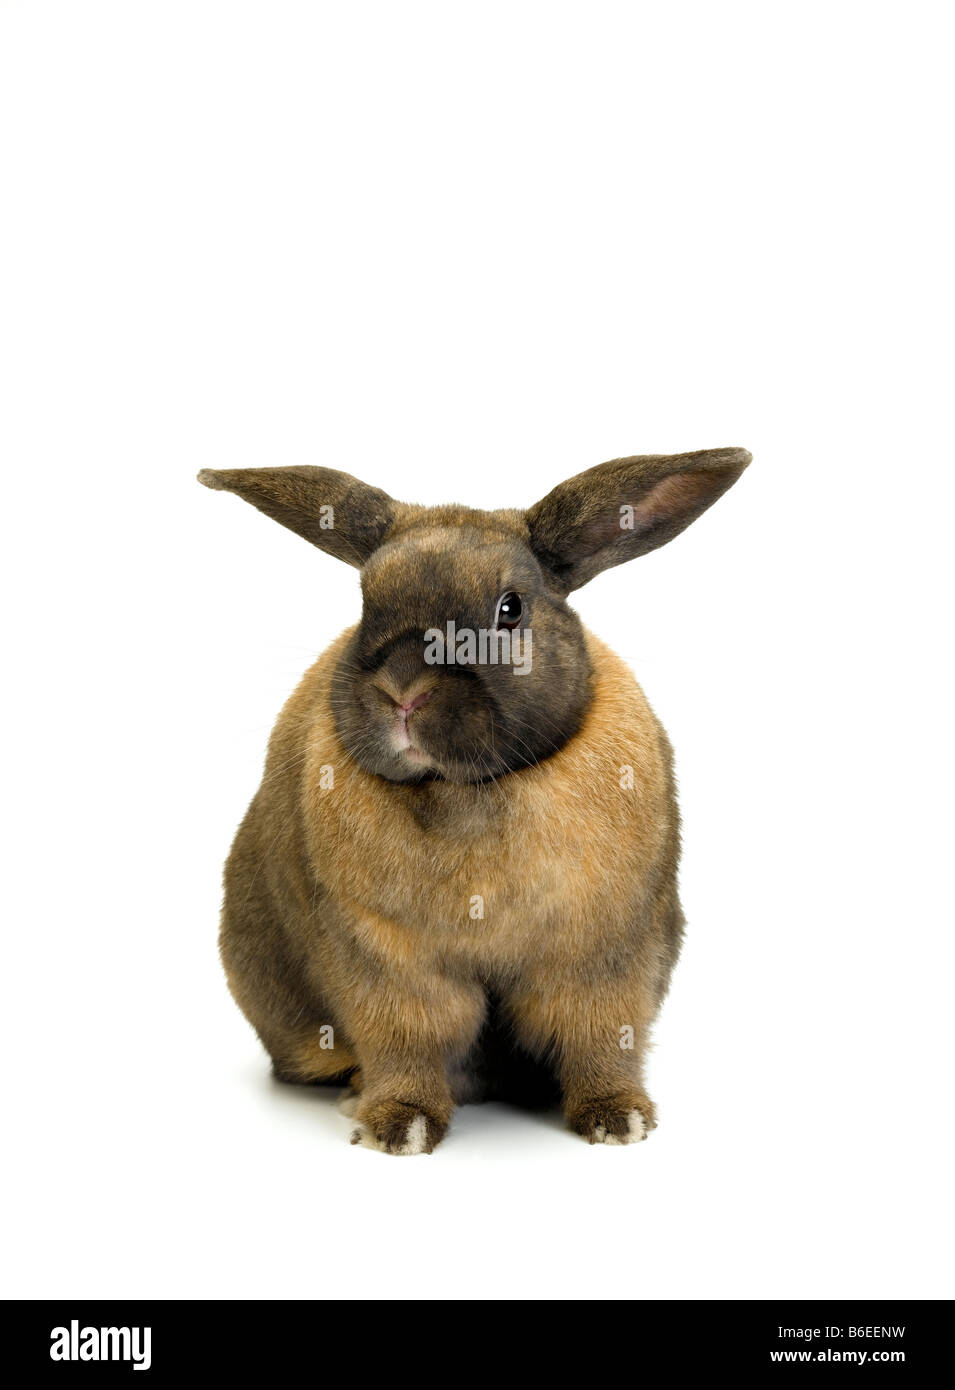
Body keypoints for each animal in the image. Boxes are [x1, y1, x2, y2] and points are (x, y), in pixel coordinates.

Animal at [198, 446, 750, 1153]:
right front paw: (399, 1127)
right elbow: (408, 1043)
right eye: (366, 603)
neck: (465, 793)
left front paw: (618, 1119)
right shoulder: (386, 963)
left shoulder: (603, 957)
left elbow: (599, 1039)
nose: (403, 691)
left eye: (510, 608)